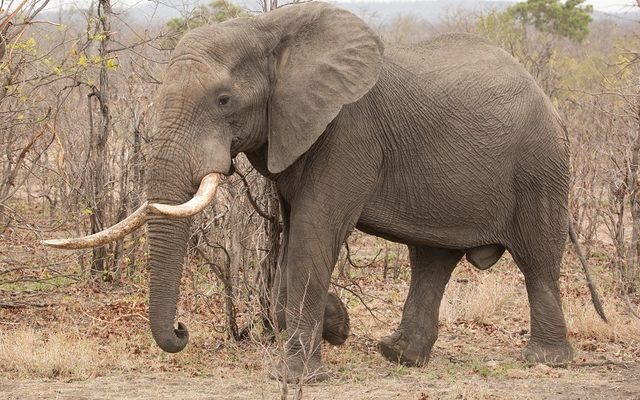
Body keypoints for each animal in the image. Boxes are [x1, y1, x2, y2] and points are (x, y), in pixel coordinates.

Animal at [44, 2, 606, 383]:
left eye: (224, 100)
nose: (181, 331)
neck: (271, 33)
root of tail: (547, 98)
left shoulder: (348, 132)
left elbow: (315, 232)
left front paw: (295, 376)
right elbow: (295, 234)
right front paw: (336, 327)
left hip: (540, 166)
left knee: (537, 260)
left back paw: (544, 361)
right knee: (432, 258)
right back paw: (398, 355)